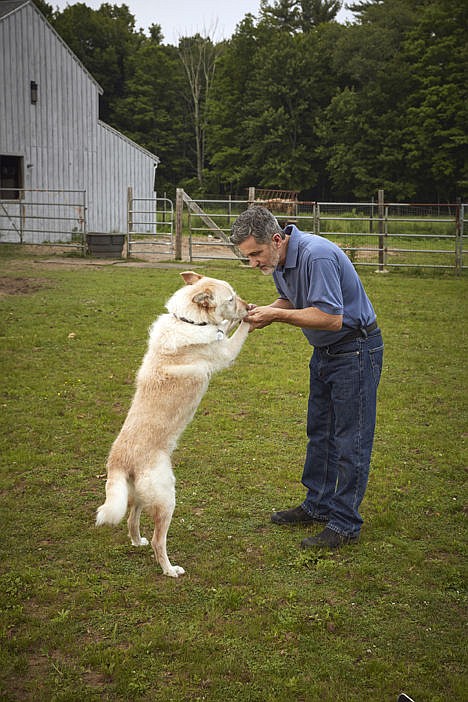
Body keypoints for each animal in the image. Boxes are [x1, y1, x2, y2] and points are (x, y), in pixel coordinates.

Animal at [93, 272, 250, 580]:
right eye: (230, 298)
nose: (248, 304)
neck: (188, 321)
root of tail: (118, 461)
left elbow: (224, 327)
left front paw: (234, 320)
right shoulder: (225, 352)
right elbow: (235, 333)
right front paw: (251, 318)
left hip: (141, 496)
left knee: (131, 520)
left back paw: (136, 541)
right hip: (167, 497)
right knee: (158, 540)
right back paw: (170, 570)